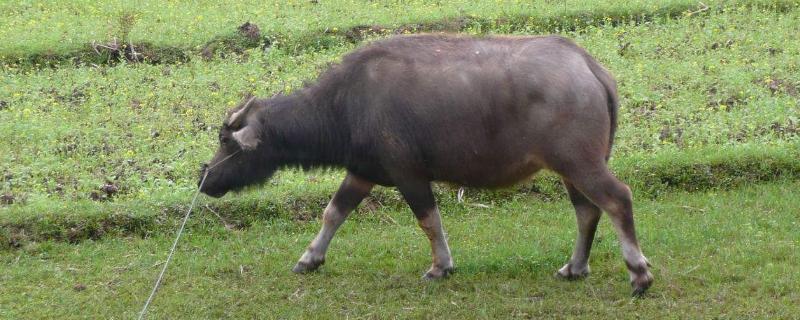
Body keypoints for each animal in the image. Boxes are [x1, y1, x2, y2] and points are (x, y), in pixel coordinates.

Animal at [198, 34, 648, 296]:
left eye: (225, 141)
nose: (205, 177)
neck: (345, 105)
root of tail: (590, 67)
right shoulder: (362, 172)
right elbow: (333, 213)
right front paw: (310, 258)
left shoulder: (408, 174)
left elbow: (428, 220)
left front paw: (440, 267)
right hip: (571, 168)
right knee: (587, 210)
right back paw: (574, 267)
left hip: (580, 161)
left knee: (617, 199)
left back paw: (638, 274)